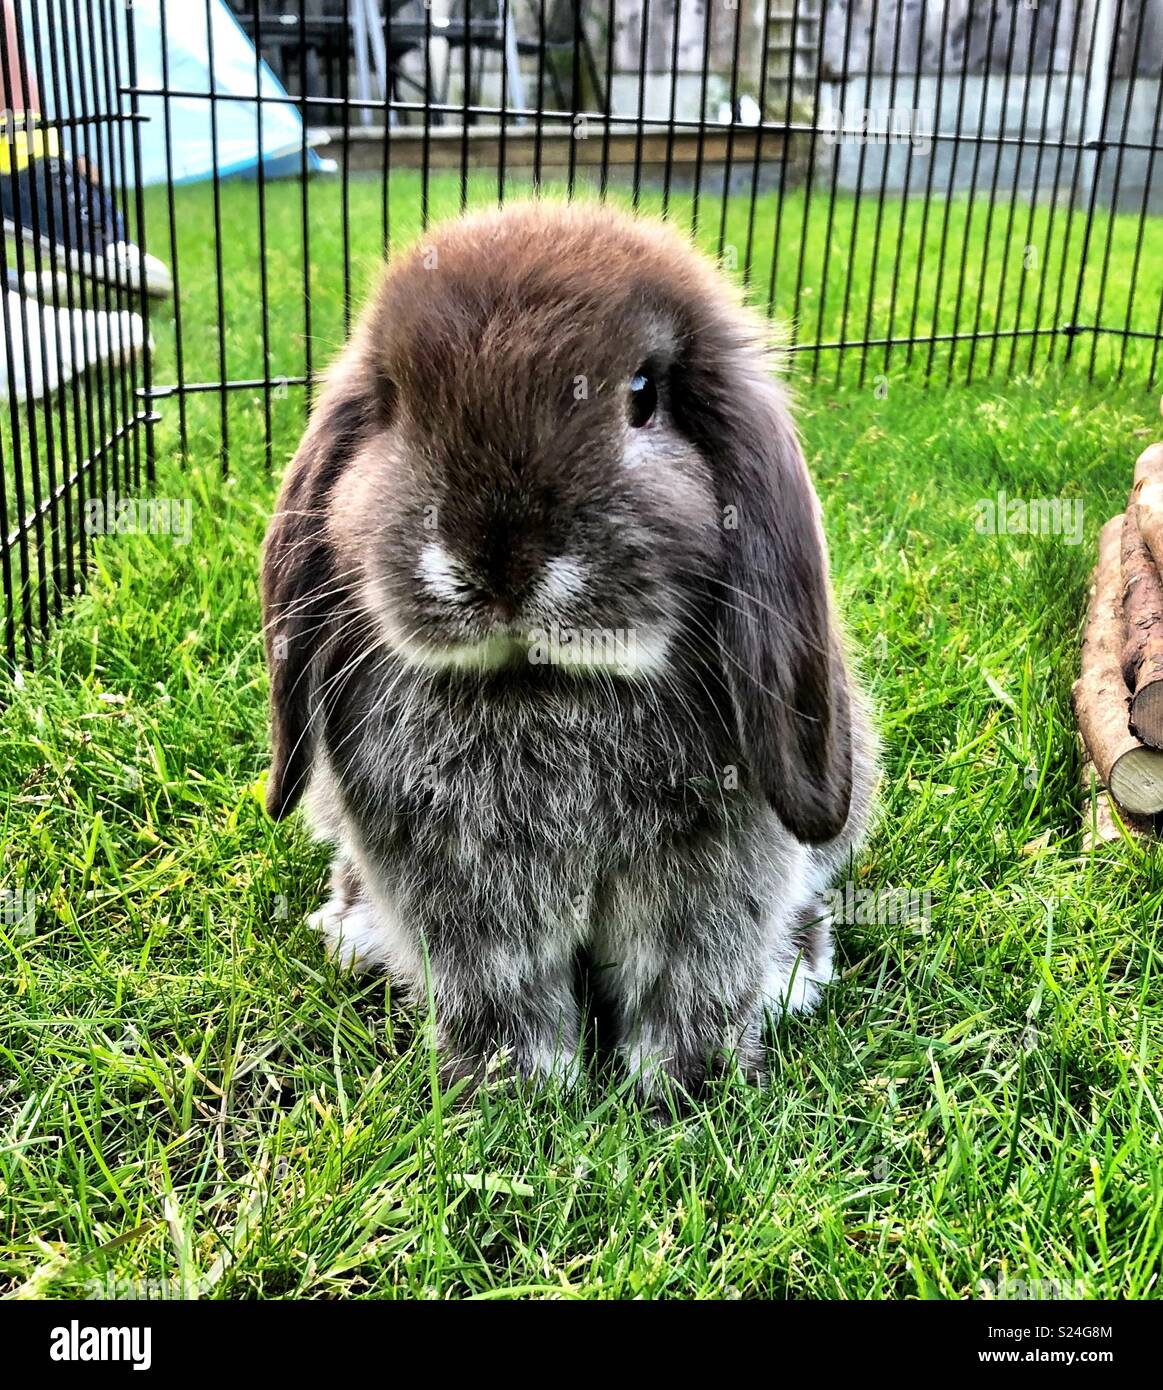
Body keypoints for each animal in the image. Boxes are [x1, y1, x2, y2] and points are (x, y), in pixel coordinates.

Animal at [261, 200, 877, 1098]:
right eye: (396, 404)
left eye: (641, 396)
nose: (498, 559)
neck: (543, 684)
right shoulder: (459, 891)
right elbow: (501, 996)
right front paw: (515, 1092)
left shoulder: (715, 876)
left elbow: (690, 986)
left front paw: (686, 1090)